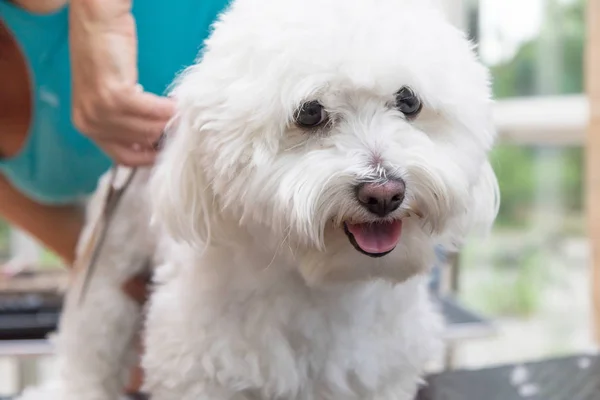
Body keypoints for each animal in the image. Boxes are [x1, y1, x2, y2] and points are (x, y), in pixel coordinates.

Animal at [17, 0, 496, 398]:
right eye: (310, 113)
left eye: (408, 101)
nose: (384, 193)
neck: (321, 283)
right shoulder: (201, 368)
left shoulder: (375, 371)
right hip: (106, 279)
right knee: (87, 349)